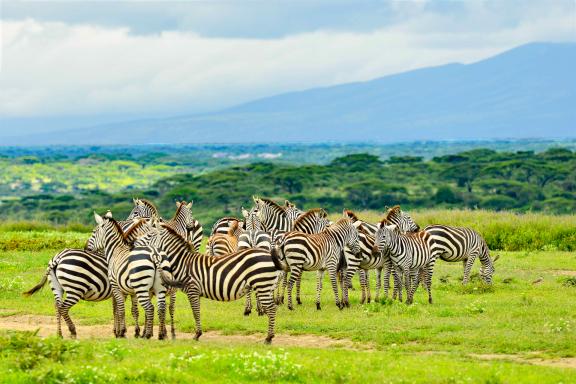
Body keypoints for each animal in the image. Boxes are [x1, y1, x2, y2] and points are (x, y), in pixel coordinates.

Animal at [153, 224, 288, 344]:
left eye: (149, 235)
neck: (184, 262)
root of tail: (269, 255)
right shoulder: (196, 292)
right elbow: (198, 311)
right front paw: (198, 333)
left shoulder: (192, 289)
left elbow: (195, 311)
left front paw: (197, 335)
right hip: (266, 286)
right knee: (272, 308)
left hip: (262, 285)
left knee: (271, 309)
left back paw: (268, 338)